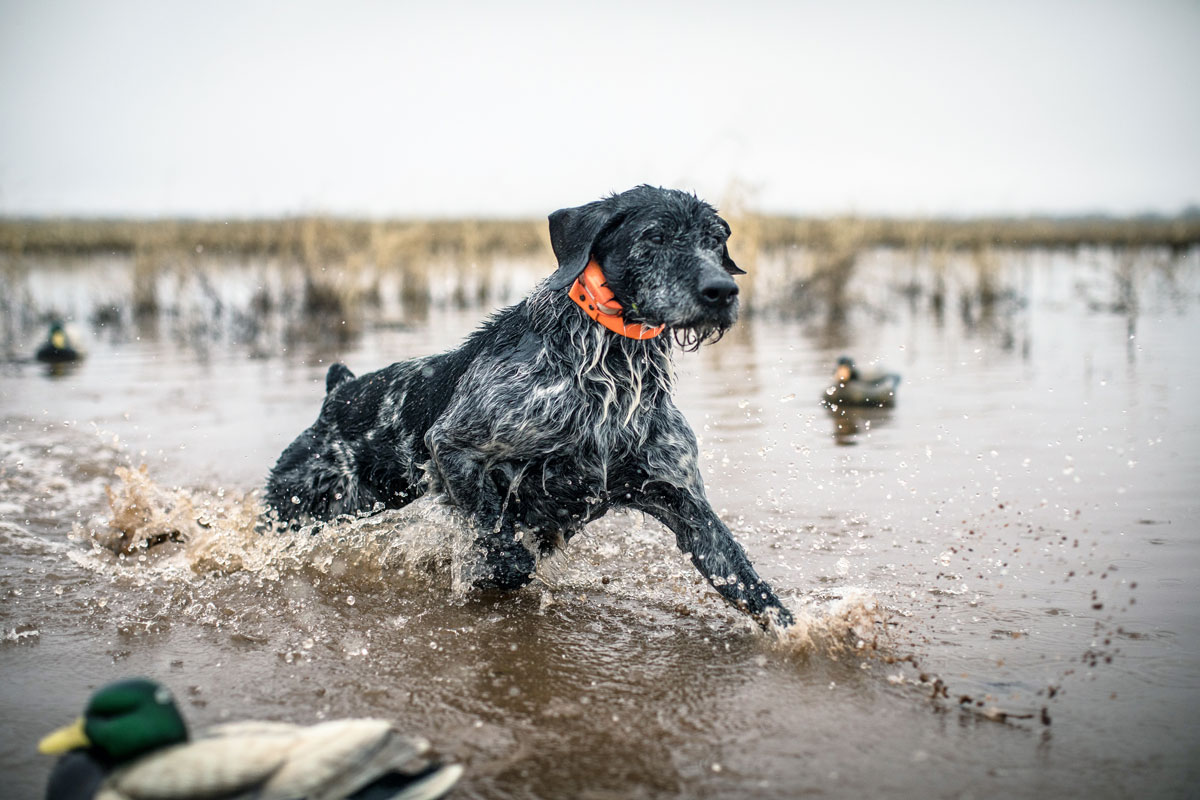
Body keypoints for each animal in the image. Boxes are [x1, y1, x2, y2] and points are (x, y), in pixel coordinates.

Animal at [266, 188, 792, 633]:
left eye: (715, 241)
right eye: (654, 237)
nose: (721, 291)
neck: (610, 373)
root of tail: (339, 393)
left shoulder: (681, 501)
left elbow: (745, 580)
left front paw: (796, 630)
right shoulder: (453, 446)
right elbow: (496, 537)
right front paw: (502, 564)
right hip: (297, 508)